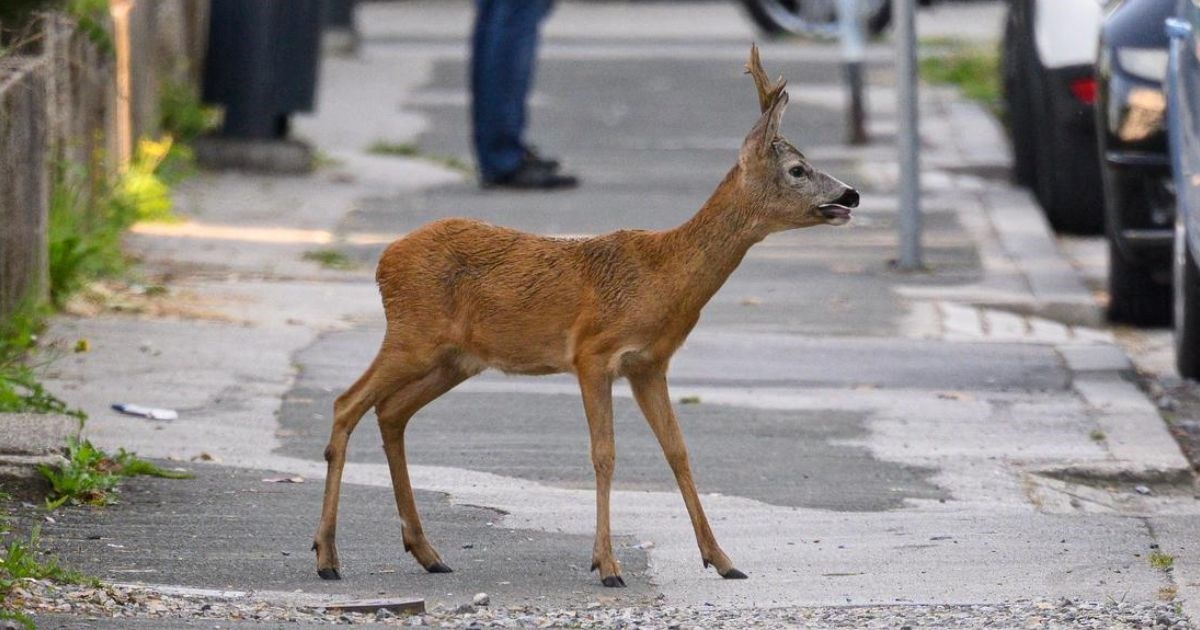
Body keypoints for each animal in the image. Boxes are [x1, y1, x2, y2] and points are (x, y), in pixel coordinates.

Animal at [309, 44, 854, 585]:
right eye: (798, 169)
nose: (851, 194)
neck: (663, 275)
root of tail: (384, 259)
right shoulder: (593, 353)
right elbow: (604, 454)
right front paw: (607, 565)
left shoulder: (649, 363)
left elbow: (678, 452)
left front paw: (721, 559)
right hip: (412, 334)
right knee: (346, 403)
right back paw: (327, 557)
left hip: (456, 359)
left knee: (390, 412)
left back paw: (426, 552)